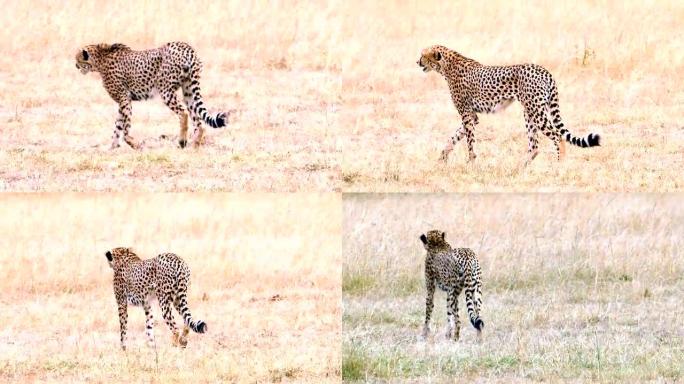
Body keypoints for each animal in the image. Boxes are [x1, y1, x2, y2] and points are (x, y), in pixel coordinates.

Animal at [76, 42, 228, 149]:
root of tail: (186, 47)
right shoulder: (123, 101)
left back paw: (182, 141)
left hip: (166, 91)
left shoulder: (124, 99)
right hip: (189, 89)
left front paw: (133, 144)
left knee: (183, 113)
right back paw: (195, 144)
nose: (76, 66)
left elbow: (125, 127)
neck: (100, 58)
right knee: (198, 120)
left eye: (78, 60)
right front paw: (112, 148)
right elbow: (118, 126)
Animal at [414, 45, 600, 165]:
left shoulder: (466, 113)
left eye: (423, 55)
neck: (446, 65)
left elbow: (469, 140)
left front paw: (471, 163)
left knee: (557, 135)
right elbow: (455, 136)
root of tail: (544, 70)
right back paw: (520, 168)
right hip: (529, 112)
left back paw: (560, 164)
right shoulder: (473, 115)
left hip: (536, 111)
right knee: (535, 146)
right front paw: (442, 157)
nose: (417, 62)